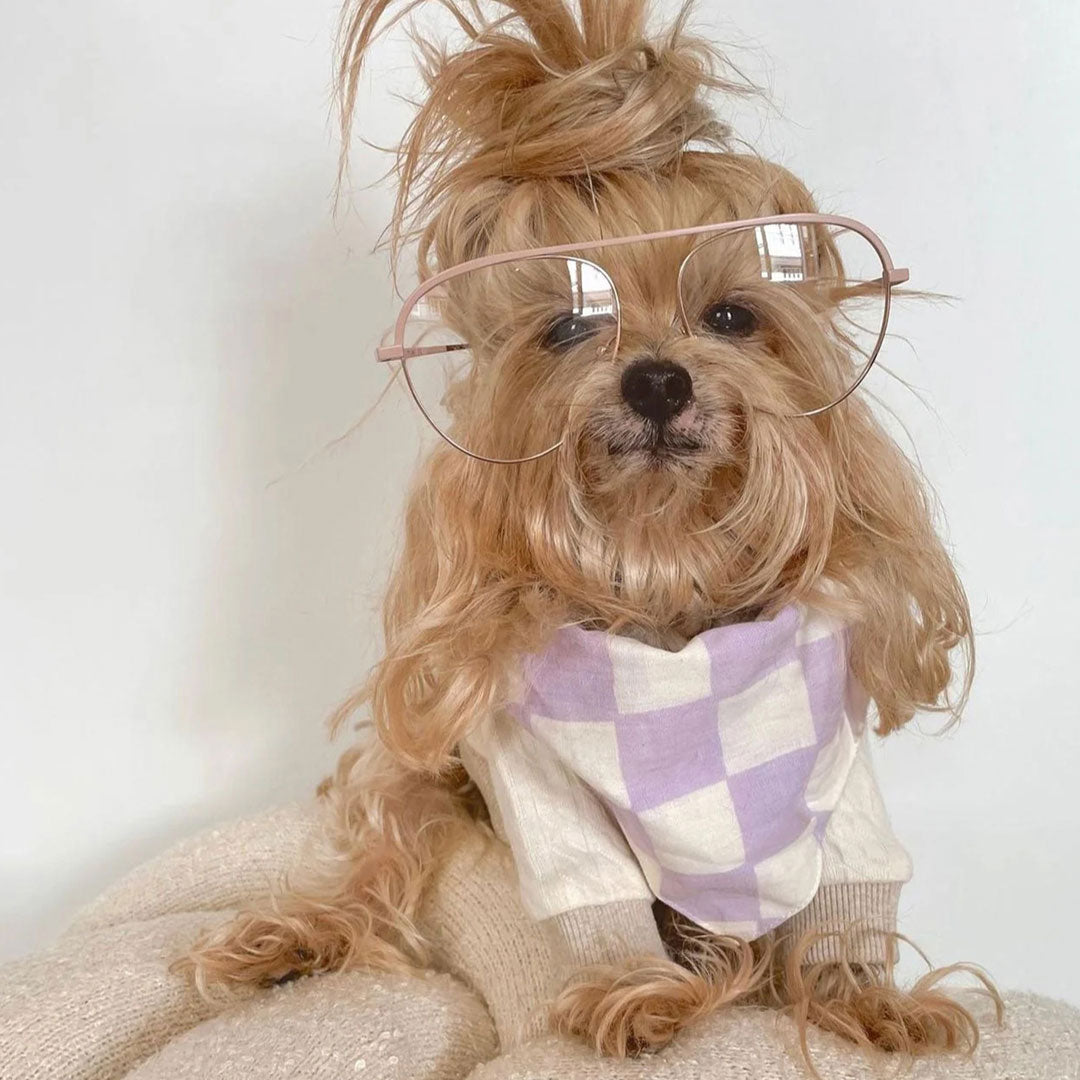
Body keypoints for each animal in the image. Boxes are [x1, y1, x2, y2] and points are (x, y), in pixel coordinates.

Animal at [181, 0, 997, 1062]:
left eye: (731, 316)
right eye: (568, 328)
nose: (657, 379)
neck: (663, 555)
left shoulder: (839, 769)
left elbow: (851, 880)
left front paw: (866, 999)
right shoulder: (525, 773)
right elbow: (588, 888)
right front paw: (637, 990)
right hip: (418, 781)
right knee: (378, 848)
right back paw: (289, 939)